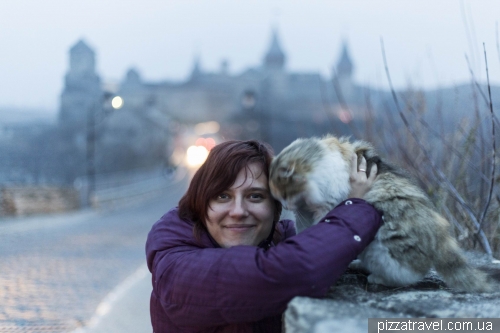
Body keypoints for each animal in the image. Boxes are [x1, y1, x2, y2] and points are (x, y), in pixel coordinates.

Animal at [270, 134, 492, 290]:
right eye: (278, 198)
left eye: (285, 194)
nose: (287, 207)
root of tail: (438, 239)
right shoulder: (307, 214)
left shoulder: (327, 205)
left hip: (380, 244)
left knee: (410, 274)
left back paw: (376, 277)